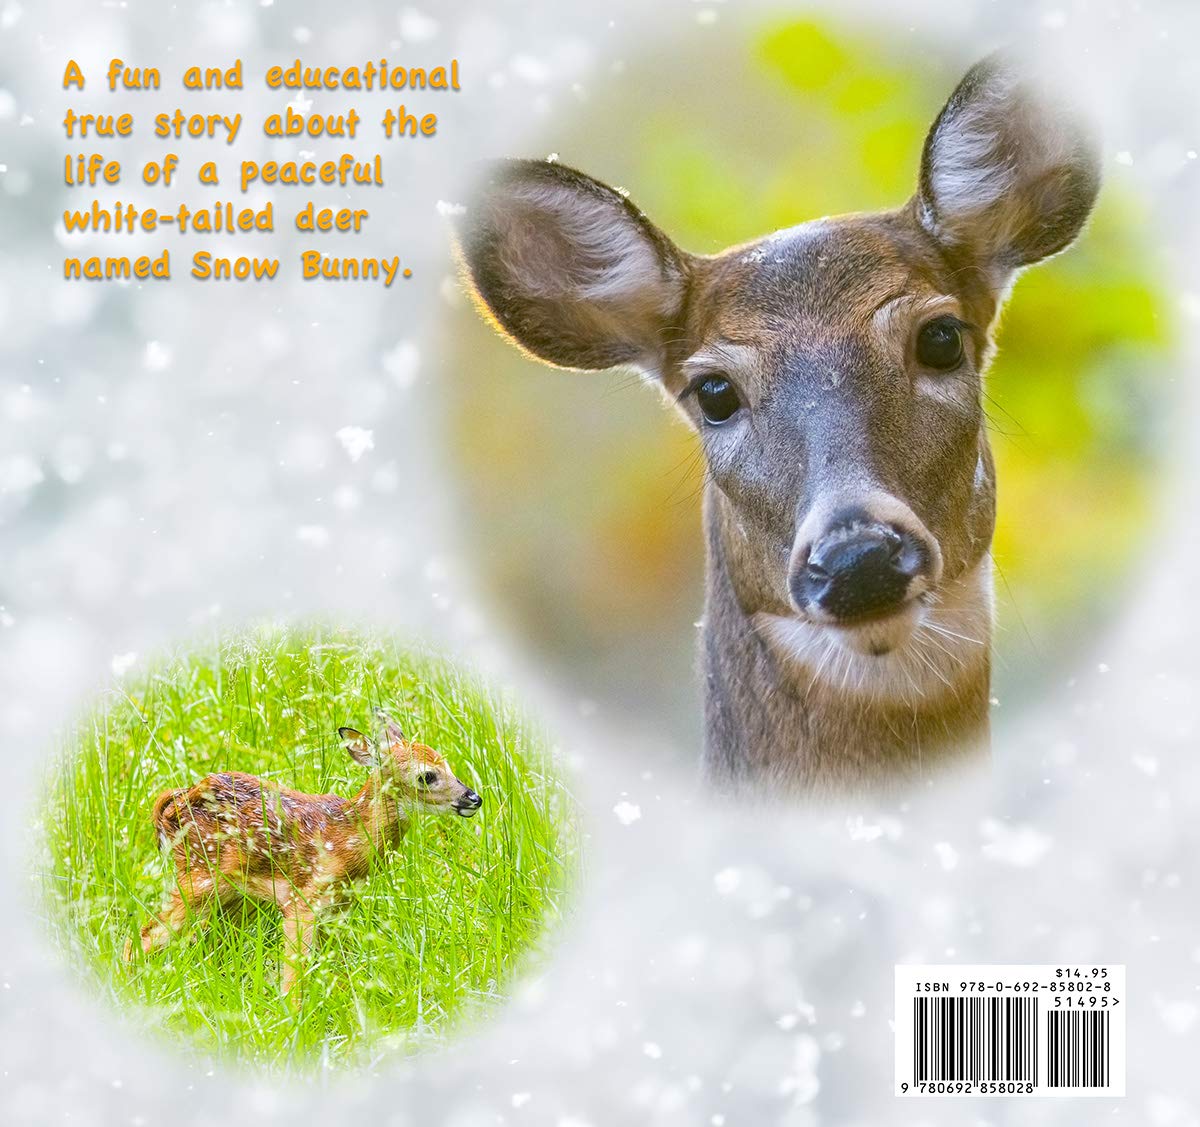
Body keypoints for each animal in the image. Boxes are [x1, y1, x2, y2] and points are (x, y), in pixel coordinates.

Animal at [124, 710, 482, 996]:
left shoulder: (338, 909)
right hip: (197, 878)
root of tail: (175, 806)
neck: (346, 841)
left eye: (448, 765)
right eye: (426, 776)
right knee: (140, 936)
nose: (473, 798)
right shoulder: (302, 901)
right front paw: (291, 1016)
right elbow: (293, 977)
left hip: (230, 897)